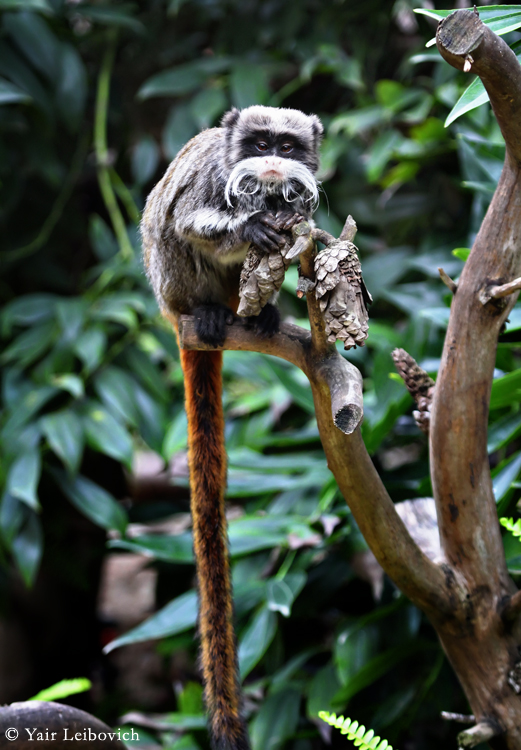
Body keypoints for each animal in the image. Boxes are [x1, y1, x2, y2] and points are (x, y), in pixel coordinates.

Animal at [140, 107, 322, 750]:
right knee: (172, 234)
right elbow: (188, 220)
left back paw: (258, 314)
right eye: (259, 142)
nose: (269, 162)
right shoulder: (210, 182)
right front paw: (252, 228)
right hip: (173, 289)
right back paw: (212, 311)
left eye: (286, 148)